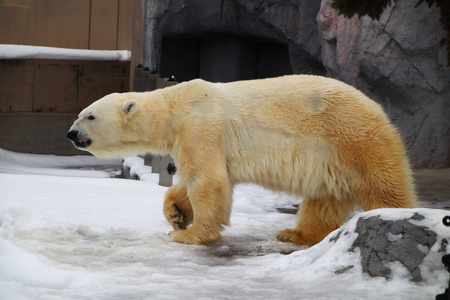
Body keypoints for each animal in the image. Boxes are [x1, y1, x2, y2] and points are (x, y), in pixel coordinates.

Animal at [67, 75, 418, 246]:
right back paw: (295, 234)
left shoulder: (201, 126)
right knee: (323, 198)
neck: (175, 106)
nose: (71, 133)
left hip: (354, 140)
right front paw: (176, 215)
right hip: (329, 159)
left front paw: (189, 234)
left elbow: (207, 180)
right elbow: (193, 179)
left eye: (89, 115)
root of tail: (380, 111)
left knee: (383, 188)